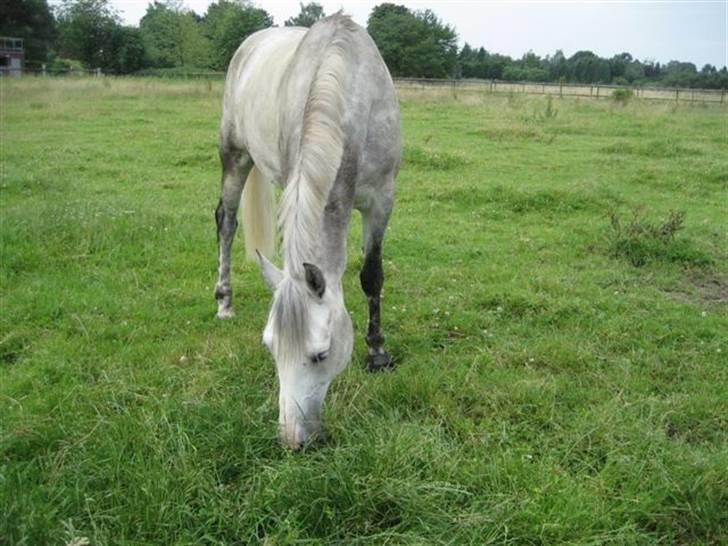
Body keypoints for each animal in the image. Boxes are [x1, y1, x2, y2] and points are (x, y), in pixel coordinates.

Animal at [213, 14, 400, 446]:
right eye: (270, 348)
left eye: (320, 355)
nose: (292, 440)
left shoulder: (381, 202)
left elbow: (372, 275)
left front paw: (377, 353)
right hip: (234, 155)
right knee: (226, 223)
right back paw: (224, 301)